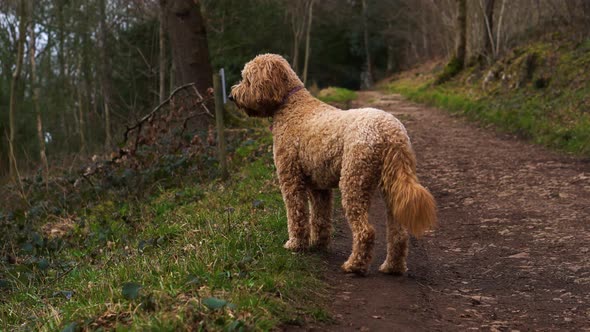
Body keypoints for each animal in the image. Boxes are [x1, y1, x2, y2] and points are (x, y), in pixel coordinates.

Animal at [231, 53, 440, 274]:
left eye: (247, 79)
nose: (231, 96)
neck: (291, 105)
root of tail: (391, 132)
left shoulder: (291, 179)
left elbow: (297, 215)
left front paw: (296, 244)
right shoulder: (318, 187)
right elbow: (320, 217)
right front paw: (318, 244)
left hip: (354, 180)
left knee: (366, 231)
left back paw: (354, 265)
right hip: (391, 185)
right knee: (398, 233)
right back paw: (392, 267)